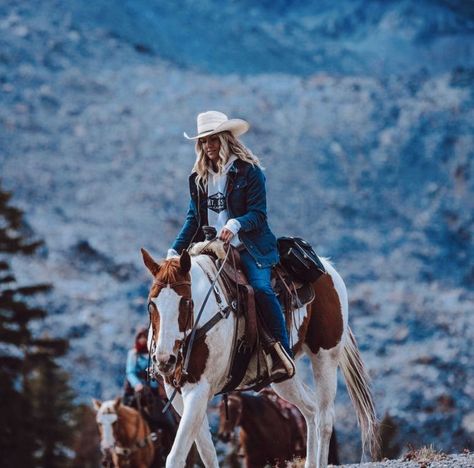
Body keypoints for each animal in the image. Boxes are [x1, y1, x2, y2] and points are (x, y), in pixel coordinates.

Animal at [141, 247, 378, 466]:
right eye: (151, 304)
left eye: (186, 302)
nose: (164, 360)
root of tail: (328, 269)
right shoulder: (177, 393)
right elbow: (207, 451)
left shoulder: (198, 390)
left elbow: (176, 456)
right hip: (283, 378)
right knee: (311, 409)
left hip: (325, 357)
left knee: (325, 418)